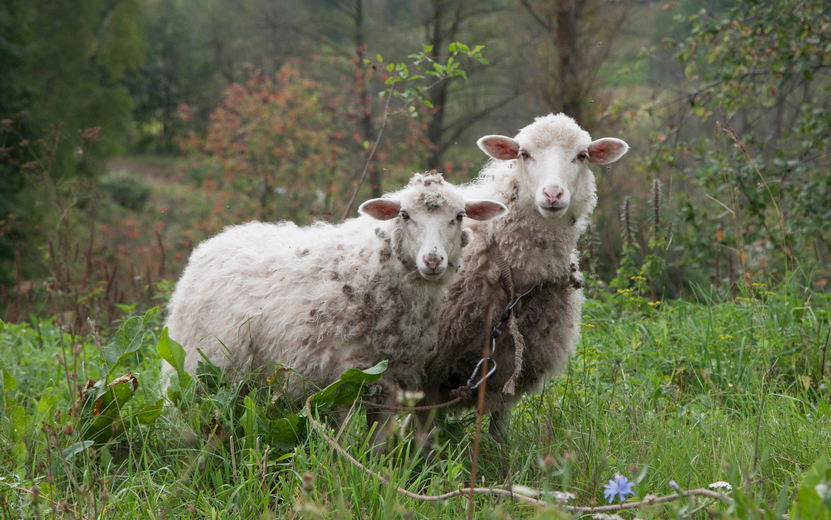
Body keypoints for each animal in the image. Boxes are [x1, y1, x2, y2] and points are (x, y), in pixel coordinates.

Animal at [159, 173, 504, 440]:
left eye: (459, 216)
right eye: (404, 215)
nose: (433, 260)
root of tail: (214, 242)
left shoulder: (389, 381)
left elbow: (377, 445)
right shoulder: (341, 380)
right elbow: (343, 441)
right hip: (194, 367)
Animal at [422, 112, 632, 438]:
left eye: (582, 156)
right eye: (524, 154)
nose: (553, 194)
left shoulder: (509, 371)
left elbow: (497, 432)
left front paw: (496, 452)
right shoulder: (430, 371)